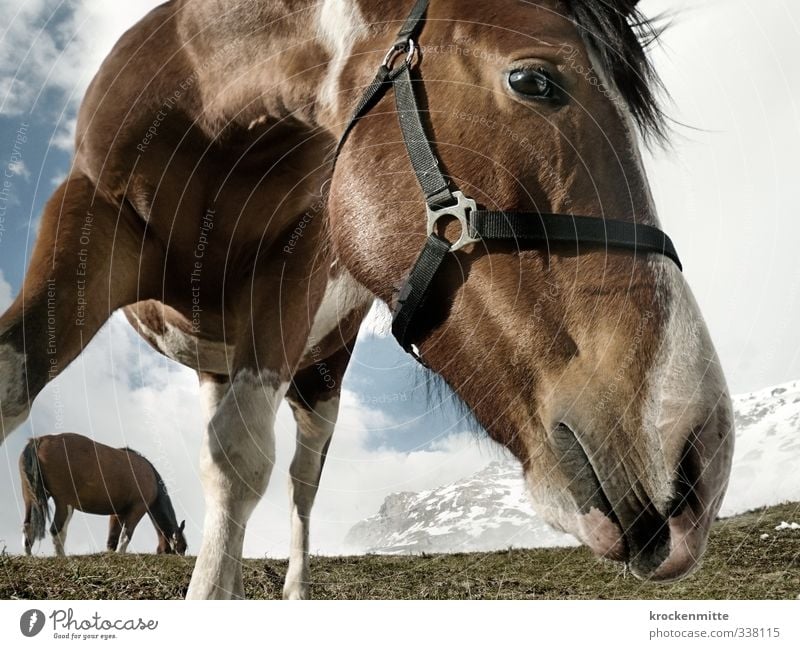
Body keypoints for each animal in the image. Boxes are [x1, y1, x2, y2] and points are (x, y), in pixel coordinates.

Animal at [19, 432, 188, 556]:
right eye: (181, 548)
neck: (150, 475)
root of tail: (40, 440)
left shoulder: (117, 513)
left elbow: (112, 539)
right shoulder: (138, 508)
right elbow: (126, 535)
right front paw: (121, 555)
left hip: (30, 499)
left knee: (28, 527)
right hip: (65, 503)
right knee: (57, 530)